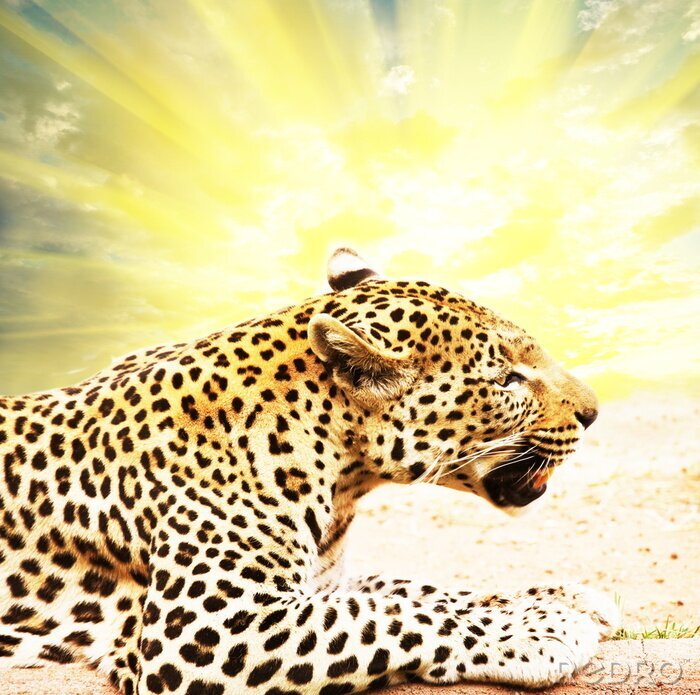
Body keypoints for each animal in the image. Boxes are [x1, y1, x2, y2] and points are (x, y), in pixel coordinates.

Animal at [0, 247, 619, 694]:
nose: (594, 413)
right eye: (506, 380)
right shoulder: (206, 632)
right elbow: (389, 618)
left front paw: (563, 597)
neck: (342, 477)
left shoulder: (324, 583)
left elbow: (410, 589)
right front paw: (543, 630)